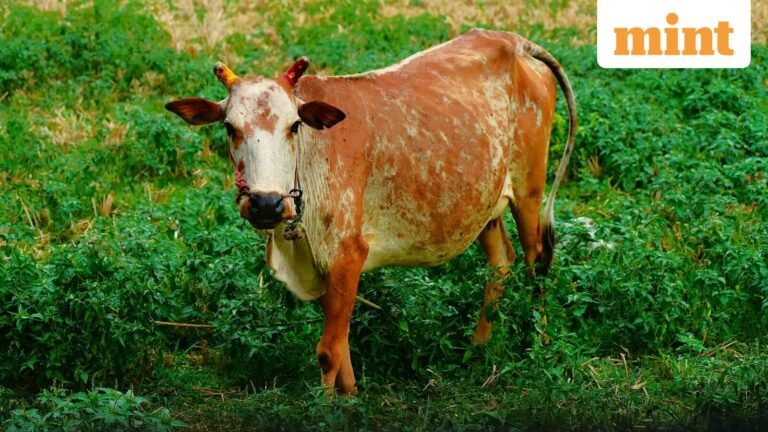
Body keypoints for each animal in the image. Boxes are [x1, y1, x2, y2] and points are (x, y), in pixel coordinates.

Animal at [166, 28, 577, 395]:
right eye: (229, 127)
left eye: (295, 125)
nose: (266, 203)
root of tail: (515, 41)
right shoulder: (322, 266)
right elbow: (342, 346)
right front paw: (351, 398)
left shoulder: (348, 253)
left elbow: (328, 351)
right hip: (484, 202)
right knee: (501, 262)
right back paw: (477, 349)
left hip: (529, 190)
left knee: (537, 261)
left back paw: (540, 343)